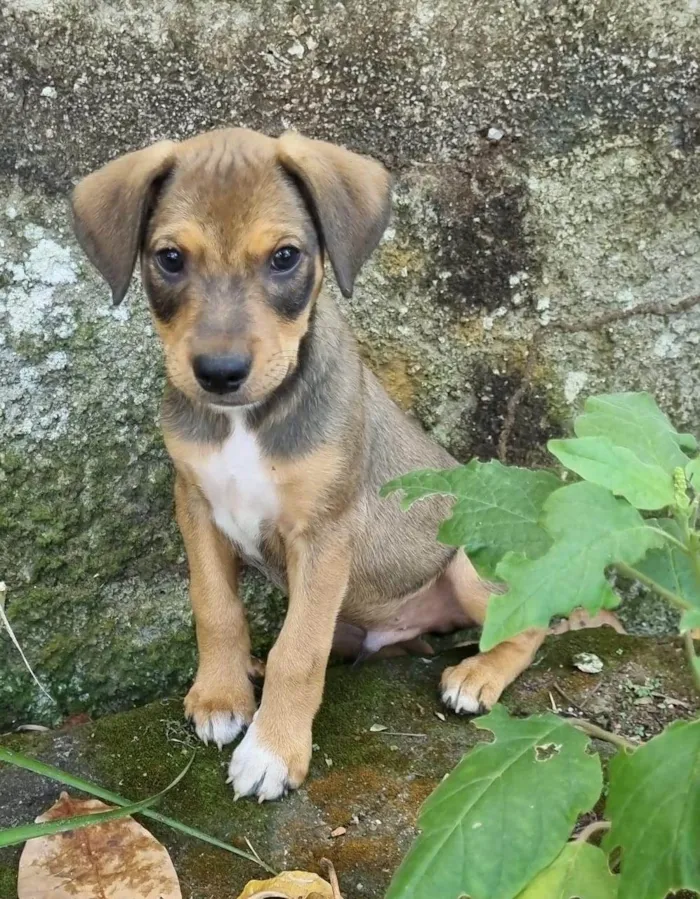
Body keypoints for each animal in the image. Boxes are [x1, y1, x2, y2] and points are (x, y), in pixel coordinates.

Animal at [71, 126, 544, 800]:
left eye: (285, 257)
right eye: (170, 258)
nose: (219, 374)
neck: (247, 421)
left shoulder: (324, 535)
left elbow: (299, 651)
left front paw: (271, 750)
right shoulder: (196, 506)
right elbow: (214, 608)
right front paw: (220, 694)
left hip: (468, 564)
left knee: (530, 625)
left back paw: (477, 674)